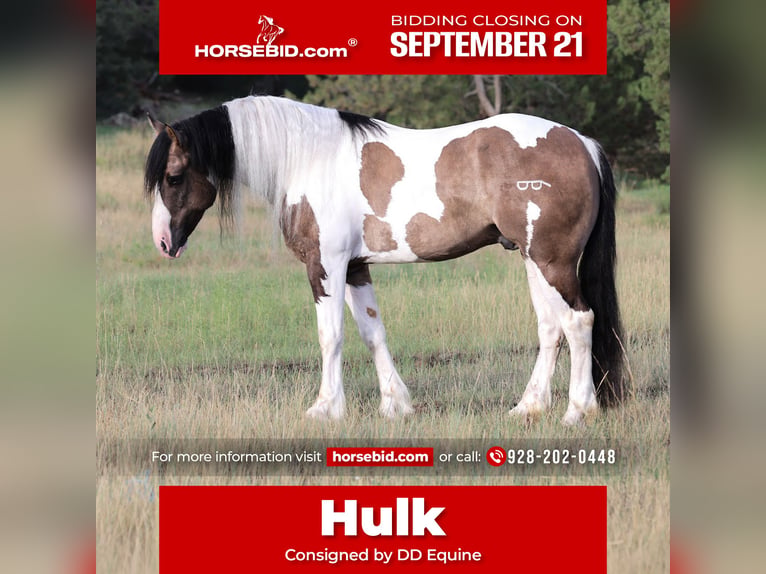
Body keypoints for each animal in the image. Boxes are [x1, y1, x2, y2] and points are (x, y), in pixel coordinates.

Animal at [144, 95, 626, 426]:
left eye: (173, 177)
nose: (163, 242)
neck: (310, 158)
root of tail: (582, 142)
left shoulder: (326, 265)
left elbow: (331, 336)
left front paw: (325, 408)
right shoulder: (356, 267)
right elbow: (372, 332)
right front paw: (396, 405)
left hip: (553, 261)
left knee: (578, 321)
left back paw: (577, 412)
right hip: (533, 260)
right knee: (550, 328)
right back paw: (528, 407)